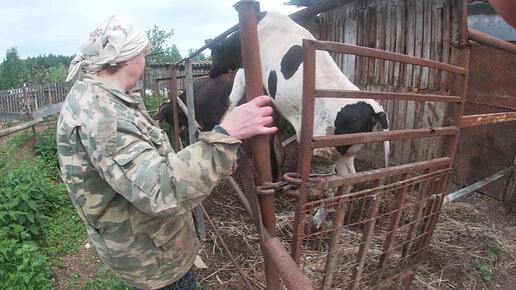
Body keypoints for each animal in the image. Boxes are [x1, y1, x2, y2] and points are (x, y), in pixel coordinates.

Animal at [212, 11, 390, 178]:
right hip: (348, 151)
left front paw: (224, 121)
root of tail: (374, 107)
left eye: (214, 53)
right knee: (348, 176)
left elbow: (232, 98)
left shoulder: (243, 70)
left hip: (325, 149)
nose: (211, 73)